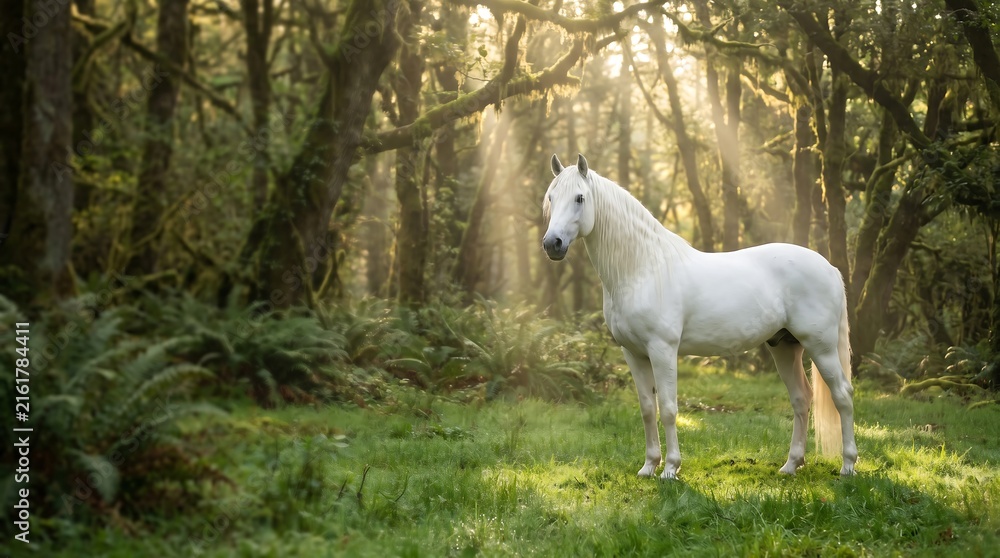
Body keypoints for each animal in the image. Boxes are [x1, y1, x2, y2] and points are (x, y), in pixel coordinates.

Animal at [541, 154, 857, 479]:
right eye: (551, 197)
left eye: (580, 198)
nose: (552, 244)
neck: (643, 269)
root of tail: (829, 267)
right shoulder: (633, 353)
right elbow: (647, 409)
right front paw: (648, 467)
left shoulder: (663, 349)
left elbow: (668, 408)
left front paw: (670, 469)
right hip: (784, 347)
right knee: (801, 399)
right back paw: (791, 465)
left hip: (820, 346)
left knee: (842, 395)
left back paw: (847, 465)